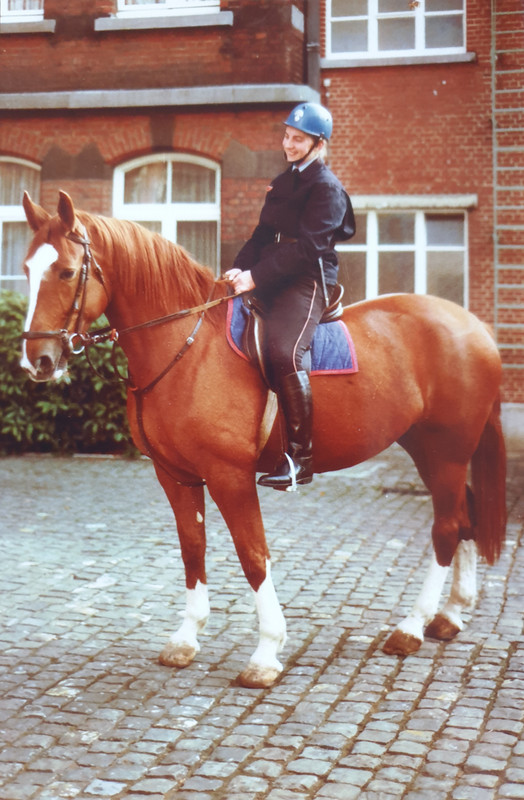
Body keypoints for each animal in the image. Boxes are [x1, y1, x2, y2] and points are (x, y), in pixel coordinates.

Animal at [20, 191, 506, 689]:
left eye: (66, 271)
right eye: (26, 268)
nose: (36, 359)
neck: (185, 345)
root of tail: (473, 325)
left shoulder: (229, 476)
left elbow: (253, 555)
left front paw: (266, 653)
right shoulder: (175, 475)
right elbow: (192, 549)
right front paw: (186, 638)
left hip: (447, 453)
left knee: (446, 528)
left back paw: (412, 626)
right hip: (430, 450)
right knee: (464, 518)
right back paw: (450, 616)